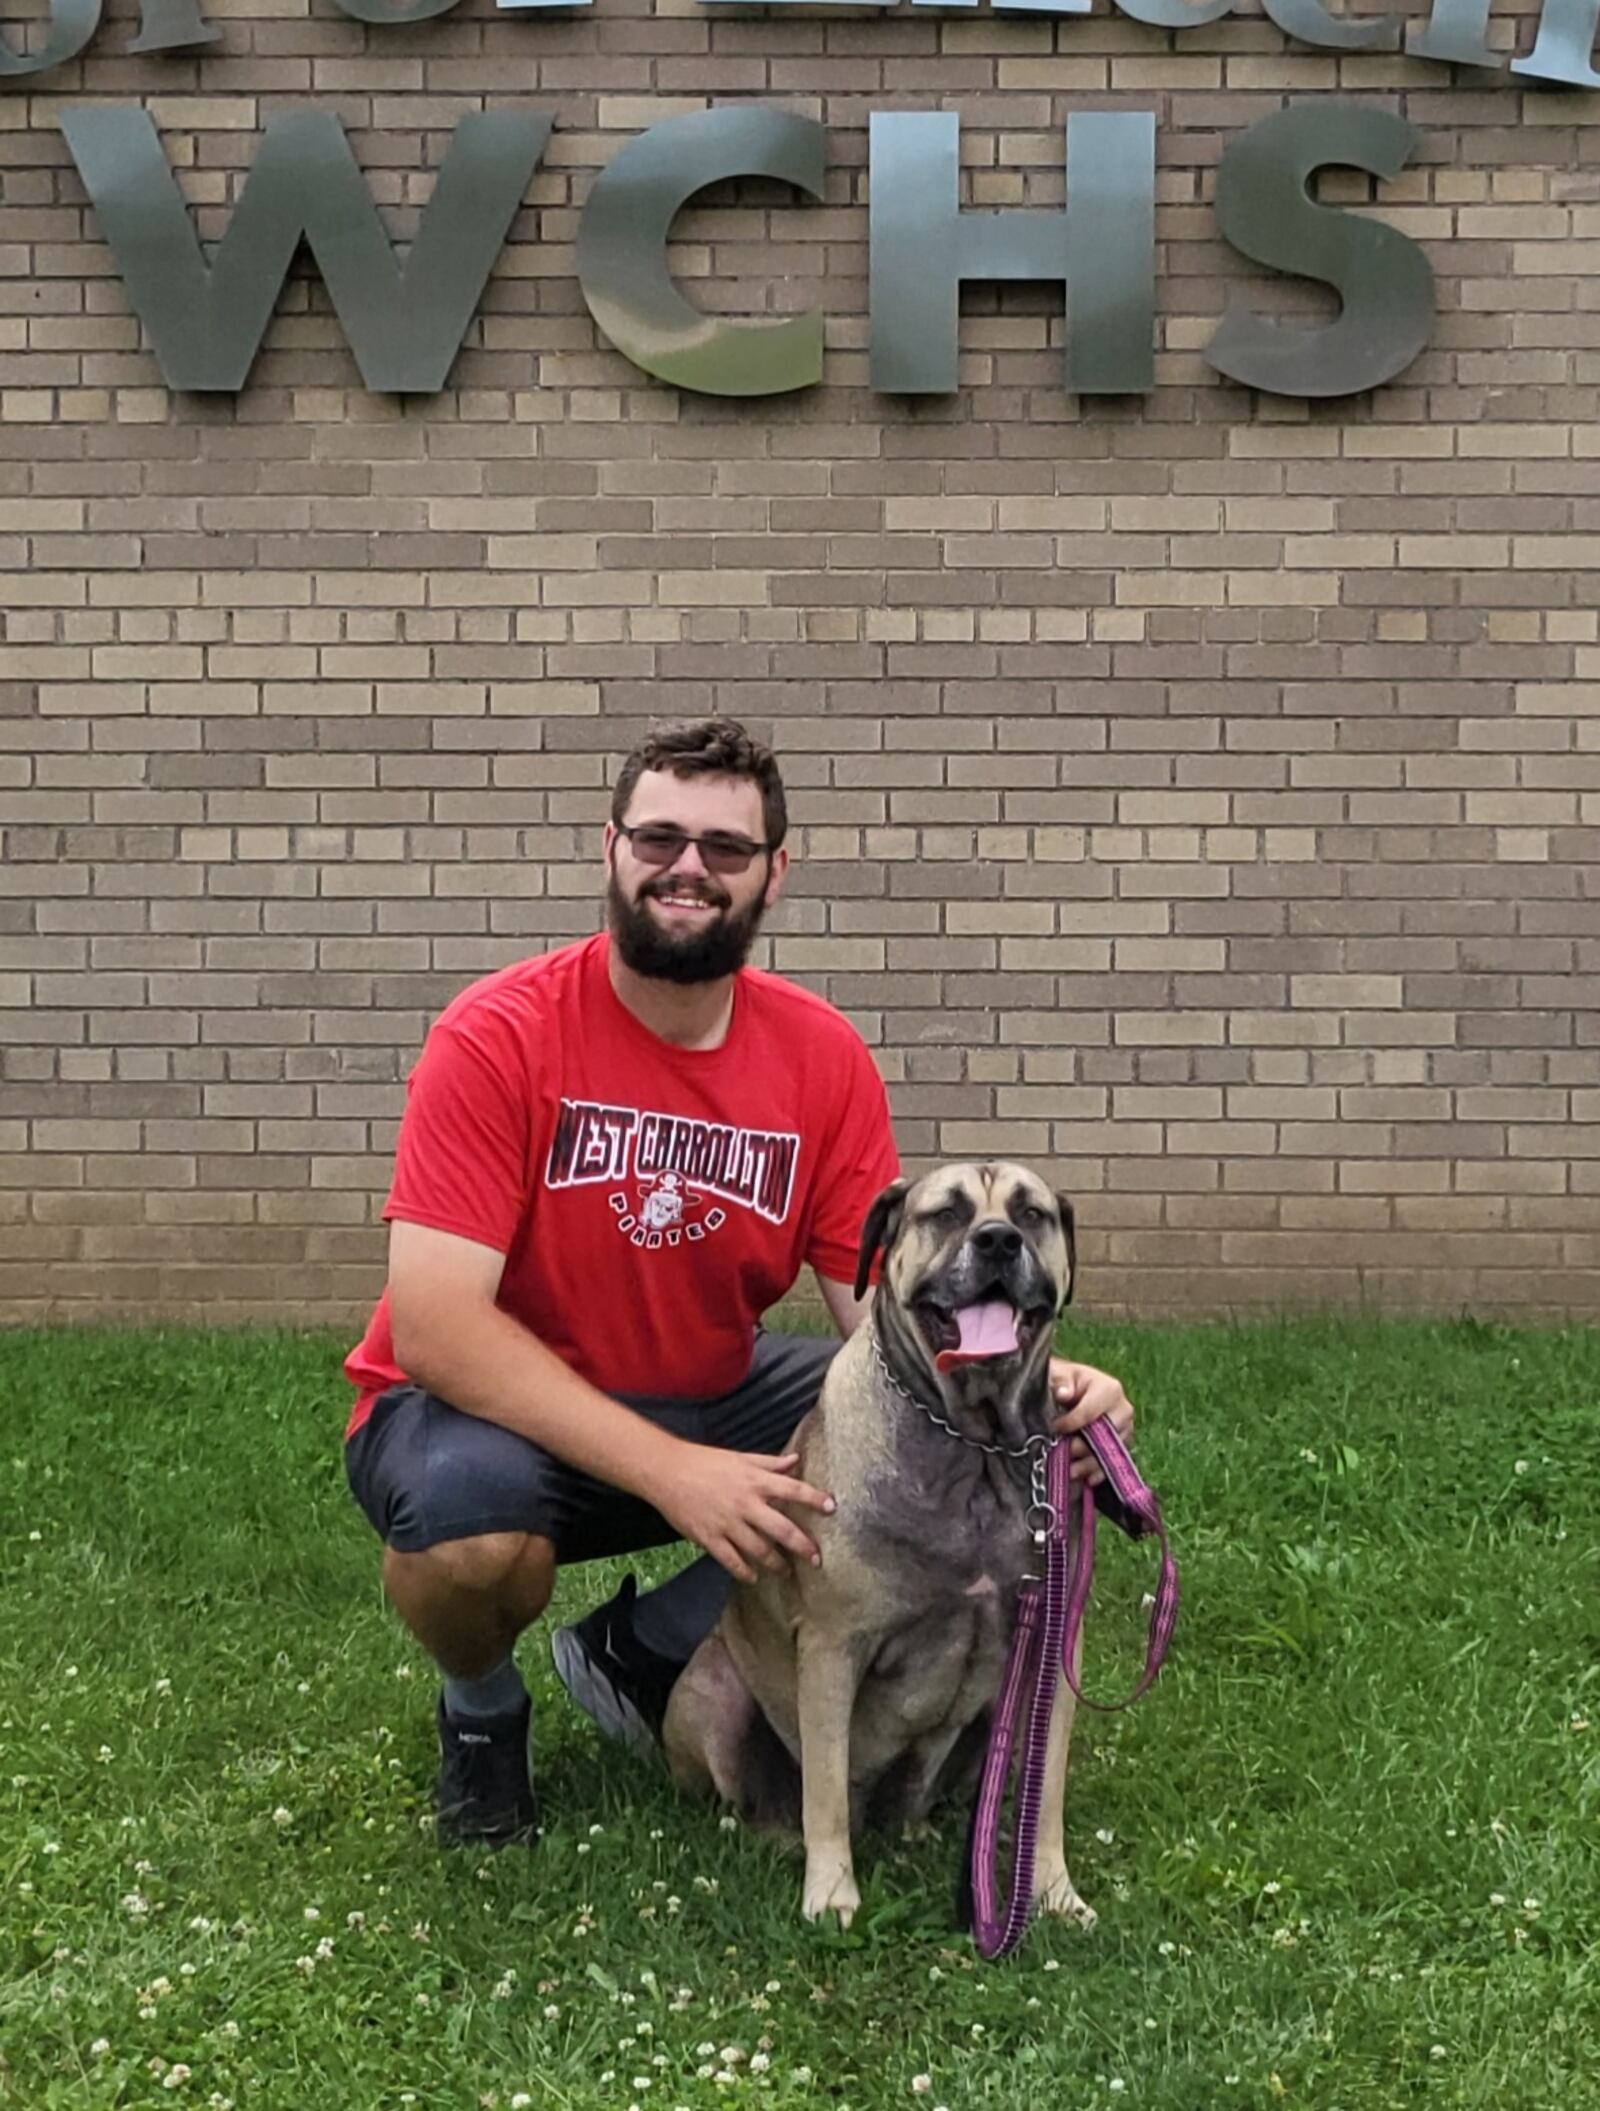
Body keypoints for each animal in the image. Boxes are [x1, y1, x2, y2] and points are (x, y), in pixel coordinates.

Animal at [658, 1165, 1097, 1933]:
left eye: (1030, 1214)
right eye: (946, 1213)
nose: (997, 1240)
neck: (975, 1444)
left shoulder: (1053, 1645)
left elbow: (1044, 1792)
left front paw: (1052, 1892)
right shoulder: (835, 1645)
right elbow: (826, 1789)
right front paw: (832, 1894)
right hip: (710, 1691)